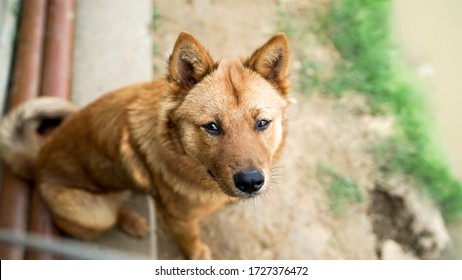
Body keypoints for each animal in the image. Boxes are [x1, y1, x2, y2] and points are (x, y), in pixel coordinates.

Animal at [0, 31, 290, 260]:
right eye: (212, 126)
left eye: (262, 123)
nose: (251, 182)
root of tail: (37, 159)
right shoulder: (179, 220)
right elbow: (191, 240)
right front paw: (197, 254)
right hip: (92, 212)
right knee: (110, 214)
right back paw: (132, 222)